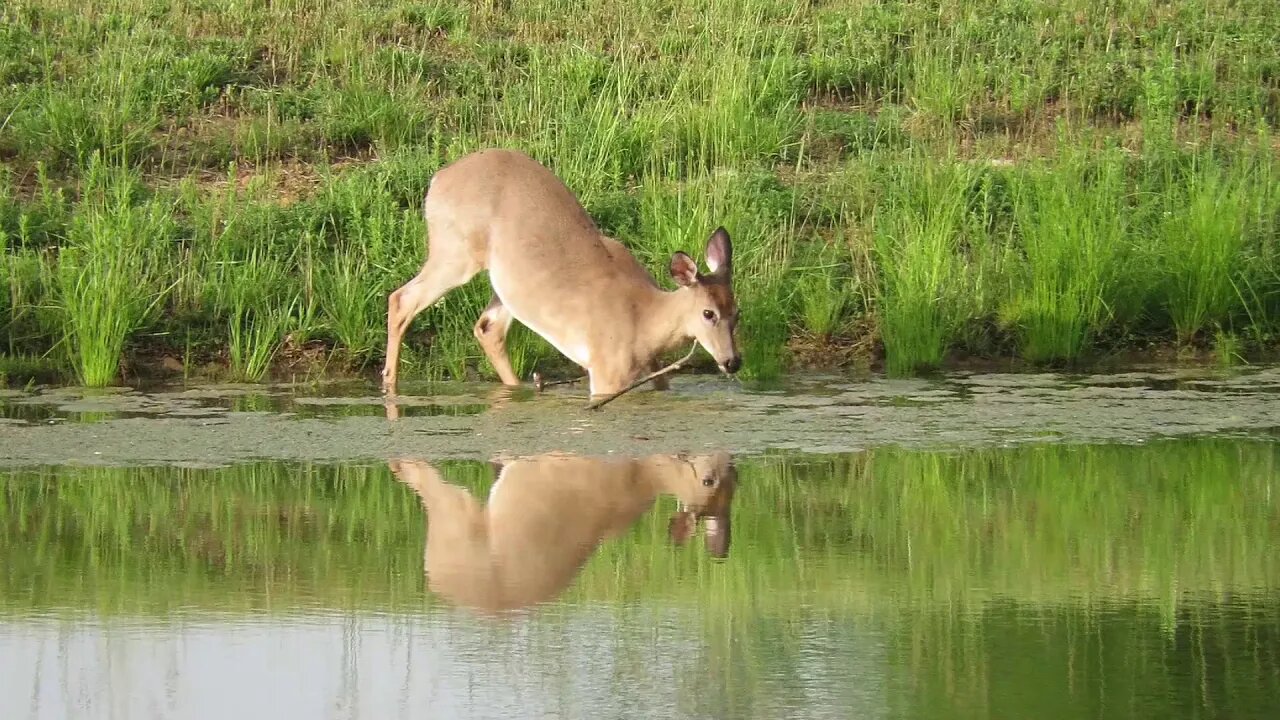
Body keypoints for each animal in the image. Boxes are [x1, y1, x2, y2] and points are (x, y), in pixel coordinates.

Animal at [378, 147, 742, 394]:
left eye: (737, 312)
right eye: (708, 313)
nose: (732, 361)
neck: (645, 318)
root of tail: (437, 179)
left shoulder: (653, 374)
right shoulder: (605, 372)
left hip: (505, 283)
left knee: (487, 328)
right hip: (456, 252)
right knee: (402, 298)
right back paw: (389, 386)